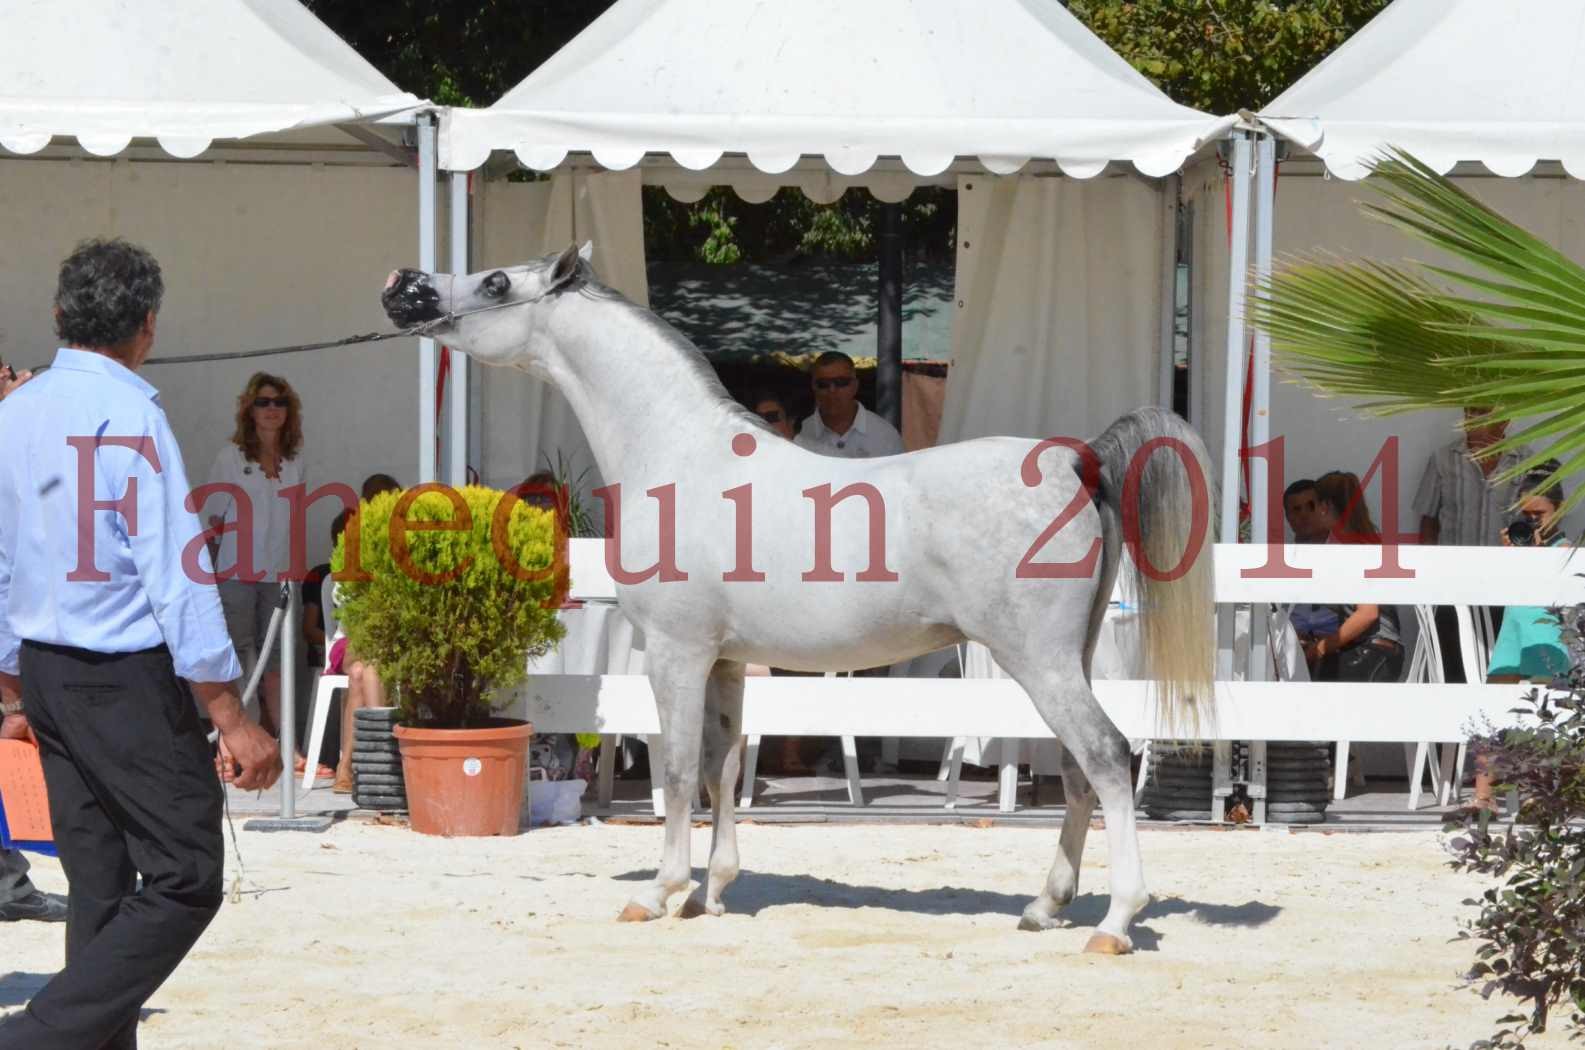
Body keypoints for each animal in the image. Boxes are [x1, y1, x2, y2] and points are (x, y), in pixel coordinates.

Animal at [383, 244, 1210, 951]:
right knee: (1076, 770)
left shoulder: (676, 652)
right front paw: (710, 893)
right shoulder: (725, 662)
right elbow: (720, 766)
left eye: (495, 282)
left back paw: (1115, 923)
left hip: (1039, 661)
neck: (680, 452)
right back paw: (1044, 908)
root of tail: (1077, 461)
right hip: (1066, 658)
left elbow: (676, 771)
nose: (401, 285)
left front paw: (658, 892)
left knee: (1105, 756)